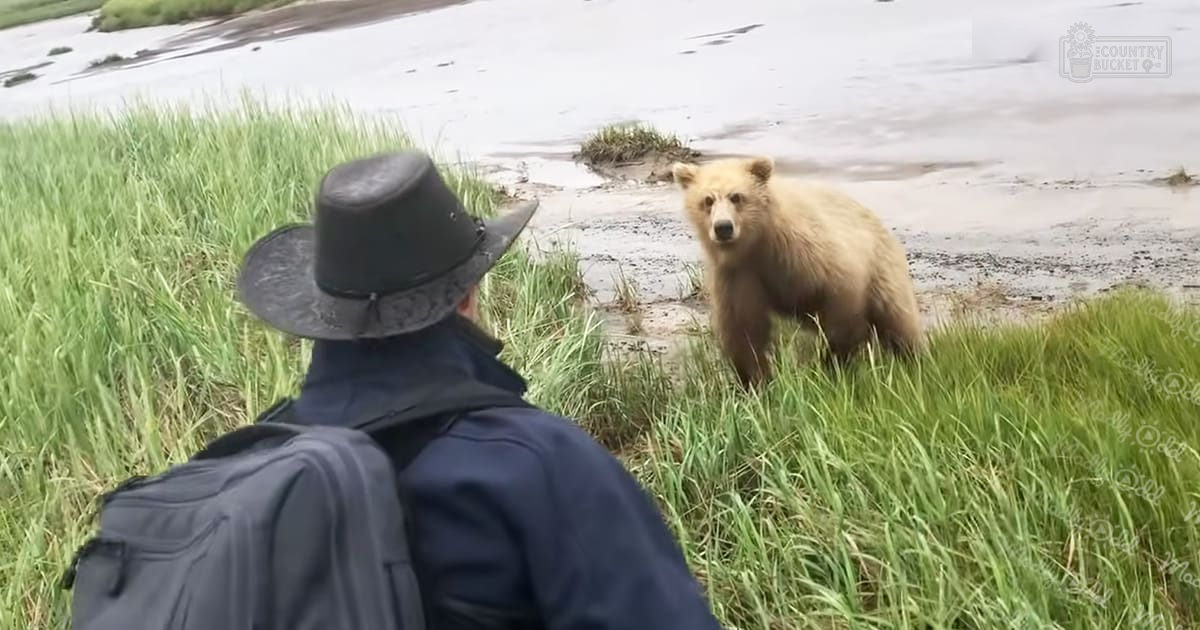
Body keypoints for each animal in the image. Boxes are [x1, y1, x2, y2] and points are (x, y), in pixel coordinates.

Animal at [669, 155, 926, 390]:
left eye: (737, 196)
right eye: (707, 200)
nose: (723, 227)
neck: (759, 242)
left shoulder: (807, 254)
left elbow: (842, 303)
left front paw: (832, 362)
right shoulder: (739, 273)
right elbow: (743, 329)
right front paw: (756, 382)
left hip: (883, 267)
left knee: (898, 318)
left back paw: (913, 358)